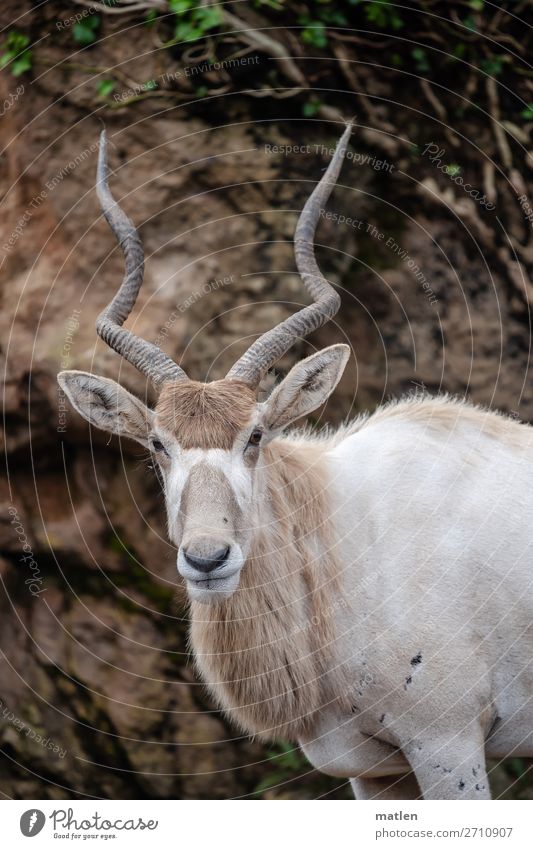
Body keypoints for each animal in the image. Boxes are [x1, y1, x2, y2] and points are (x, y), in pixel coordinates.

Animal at [58, 122, 532, 800]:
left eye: (255, 435)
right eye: (157, 444)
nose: (208, 559)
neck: (337, 532)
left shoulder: (448, 742)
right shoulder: (374, 769)